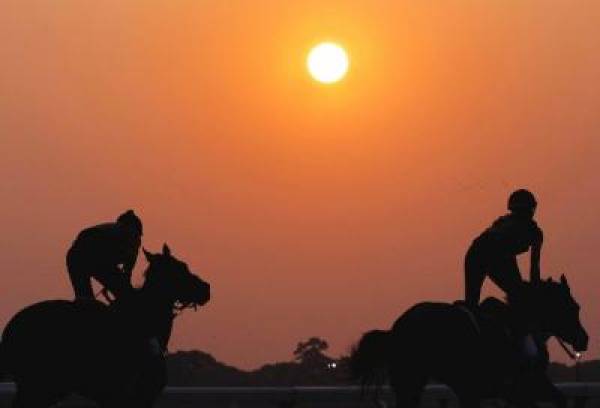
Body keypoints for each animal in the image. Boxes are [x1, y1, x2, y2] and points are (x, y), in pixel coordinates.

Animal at [0, 244, 211, 406]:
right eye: (181, 268)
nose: (206, 288)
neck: (144, 323)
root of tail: (10, 328)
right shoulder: (126, 396)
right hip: (37, 388)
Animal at [350, 276, 588, 408]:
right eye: (573, 307)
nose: (584, 339)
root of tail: (394, 329)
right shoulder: (519, 388)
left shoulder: (512, 390)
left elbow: (560, 400)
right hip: (411, 380)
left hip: (413, 383)